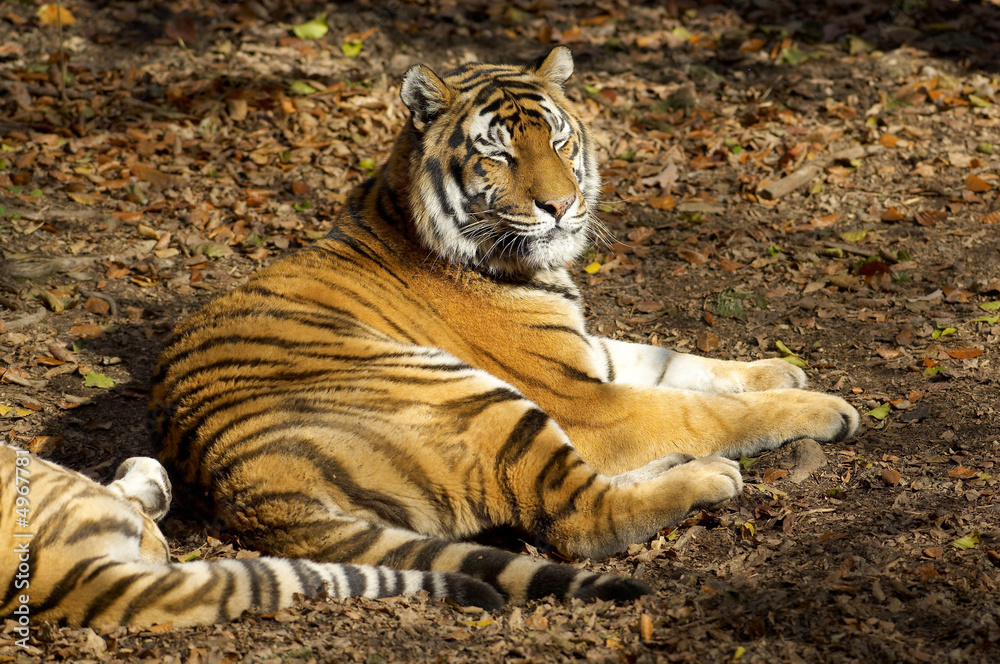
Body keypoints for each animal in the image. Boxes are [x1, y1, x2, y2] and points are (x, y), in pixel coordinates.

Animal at [149, 46, 860, 609]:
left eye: (559, 141)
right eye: (498, 153)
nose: (562, 206)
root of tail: (245, 485)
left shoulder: (588, 353)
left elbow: (676, 361)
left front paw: (779, 368)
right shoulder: (582, 399)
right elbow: (700, 409)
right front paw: (821, 406)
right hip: (474, 398)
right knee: (577, 519)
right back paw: (708, 477)